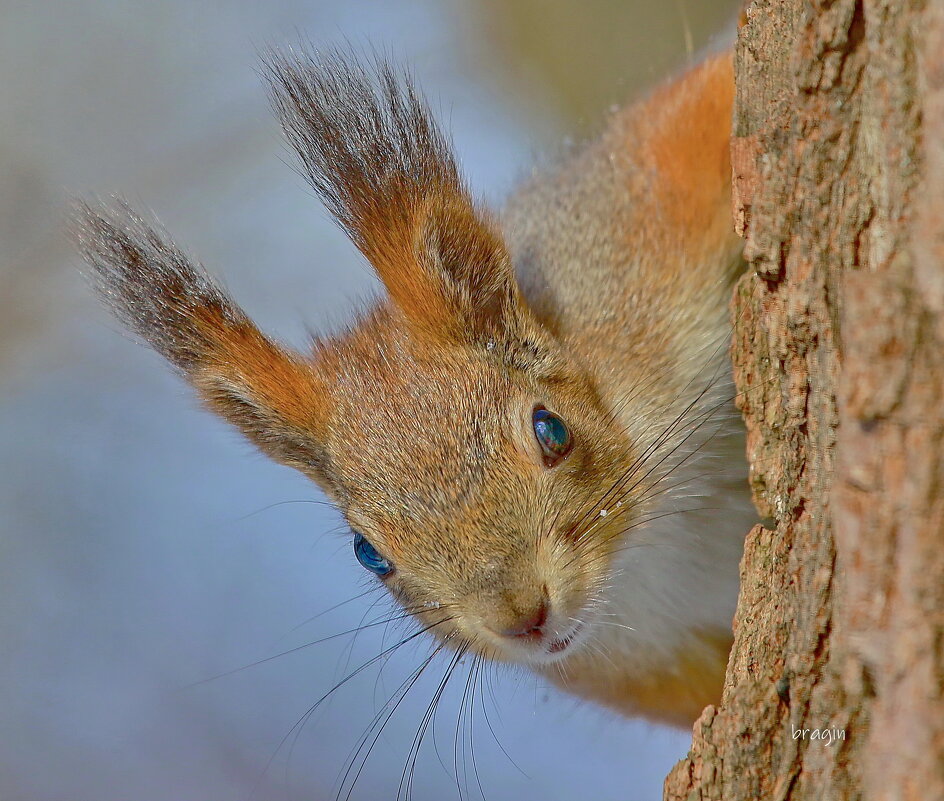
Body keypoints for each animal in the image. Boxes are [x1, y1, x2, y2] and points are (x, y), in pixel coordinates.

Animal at [74, 47, 752, 728]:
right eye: (368, 553)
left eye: (551, 429)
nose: (522, 618)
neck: (645, 551)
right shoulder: (650, 666)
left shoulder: (635, 238)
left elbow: (705, 105)